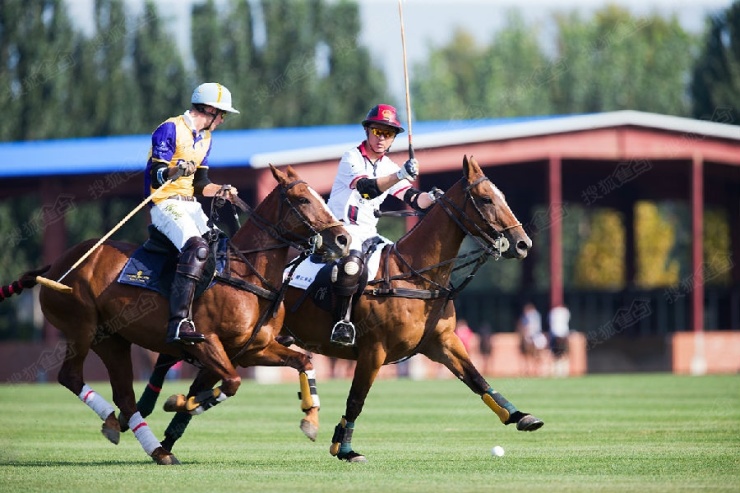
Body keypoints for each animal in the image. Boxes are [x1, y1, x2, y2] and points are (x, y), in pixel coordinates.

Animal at [5, 166, 350, 466]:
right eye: (304, 199)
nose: (342, 239)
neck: (247, 274)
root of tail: (54, 265)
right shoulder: (205, 342)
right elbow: (231, 383)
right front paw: (179, 401)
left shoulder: (253, 349)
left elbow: (303, 361)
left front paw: (310, 418)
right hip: (82, 327)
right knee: (71, 376)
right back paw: (121, 424)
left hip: (113, 339)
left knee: (125, 395)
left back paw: (150, 445)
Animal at [142, 155, 544, 462]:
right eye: (486, 199)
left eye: (501, 195)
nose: (524, 243)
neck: (419, 277)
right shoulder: (374, 350)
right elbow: (356, 399)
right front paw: (344, 448)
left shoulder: (441, 342)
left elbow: (477, 379)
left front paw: (521, 416)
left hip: (242, 344)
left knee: (205, 380)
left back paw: (167, 436)